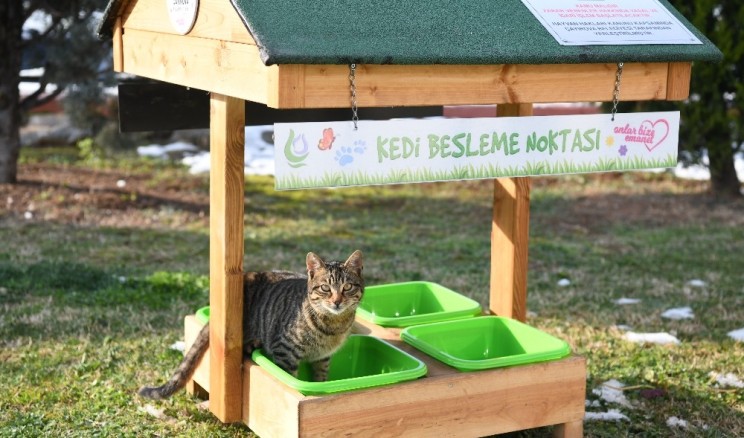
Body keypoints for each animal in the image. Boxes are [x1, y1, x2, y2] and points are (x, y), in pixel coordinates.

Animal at [138, 250, 364, 400]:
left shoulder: (323, 358)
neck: (333, 326)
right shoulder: (285, 352)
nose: (337, 301)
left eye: (347, 287)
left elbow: (321, 378)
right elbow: (288, 380)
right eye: (325, 288)